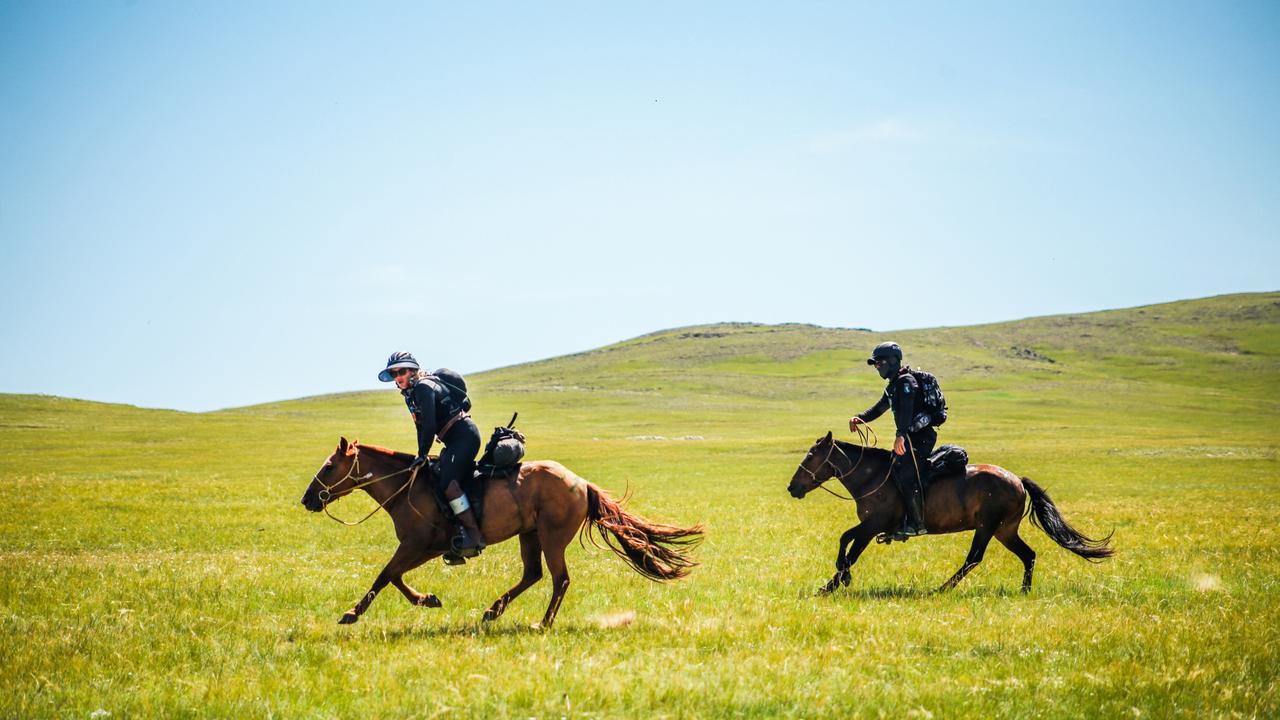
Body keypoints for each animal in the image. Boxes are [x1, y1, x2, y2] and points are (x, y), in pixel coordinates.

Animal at [295, 435, 706, 625]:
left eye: (329, 466)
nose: (308, 498)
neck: (408, 488)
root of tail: (582, 483)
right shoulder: (420, 548)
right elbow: (393, 577)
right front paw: (428, 599)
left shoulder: (419, 545)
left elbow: (386, 575)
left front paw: (352, 613)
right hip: (530, 535)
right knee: (533, 574)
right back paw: (494, 610)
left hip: (552, 538)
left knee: (559, 579)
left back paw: (543, 623)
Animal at [783, 427, 1105, 591]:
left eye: (811, 456)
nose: (792, 487)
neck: (872, 477)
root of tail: (1017, 480)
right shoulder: (870, 525)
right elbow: (845, 540)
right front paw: (837, 580)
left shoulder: (873, 525)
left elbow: (850, 550)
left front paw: (835, 583)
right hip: (1005, 530)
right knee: (1029, 555)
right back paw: (1024, 591)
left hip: (987, 527)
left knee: (974, 558)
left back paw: (942, 589)